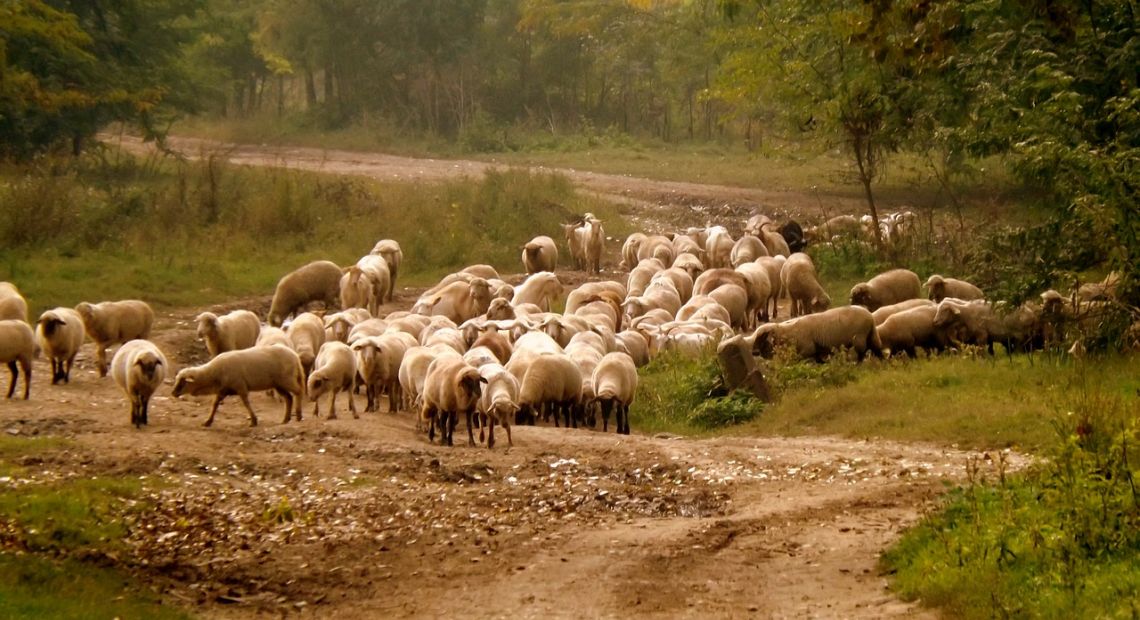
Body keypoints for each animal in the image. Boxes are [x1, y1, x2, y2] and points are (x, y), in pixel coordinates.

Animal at [172, 344, 306, 427]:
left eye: (183, 382)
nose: (173, 393)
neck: (212, 374)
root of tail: (295, 356)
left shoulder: (240, 386)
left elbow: (246, 403)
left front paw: (253, 421)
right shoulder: (223, 390)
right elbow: (215, 404)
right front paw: (208, 421)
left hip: (287, 379)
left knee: (298, 392)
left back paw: (298, 415)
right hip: (279, 384)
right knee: (289, 398)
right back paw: (285, 419)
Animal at [750, 306, 883, 362]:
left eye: (761, 337)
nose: (754, 352)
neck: (788, 333)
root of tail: (870, 316)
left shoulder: (807, 349)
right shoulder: (816, 350)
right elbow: (819, 361)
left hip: (859, 337)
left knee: (862, 352)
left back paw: (858, 365)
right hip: (870, 335)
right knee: (876, 349)